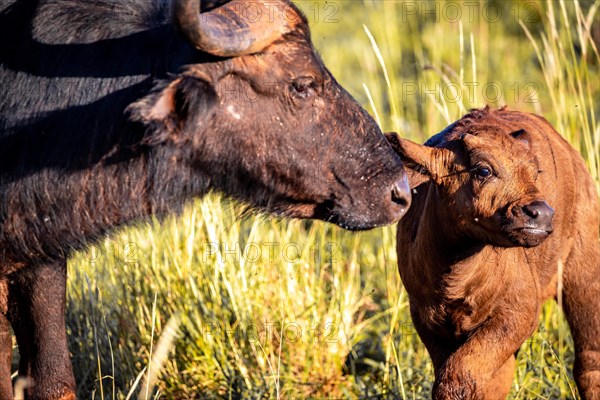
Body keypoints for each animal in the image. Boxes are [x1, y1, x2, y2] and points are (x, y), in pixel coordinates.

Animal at [386, 107, 600, 400]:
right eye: (483, 170)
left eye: (535, 171)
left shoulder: (519, 312)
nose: (542, 213)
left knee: (590, 359)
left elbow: (459, 376)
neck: (456, 274)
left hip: (584, 271)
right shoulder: (426, 319)